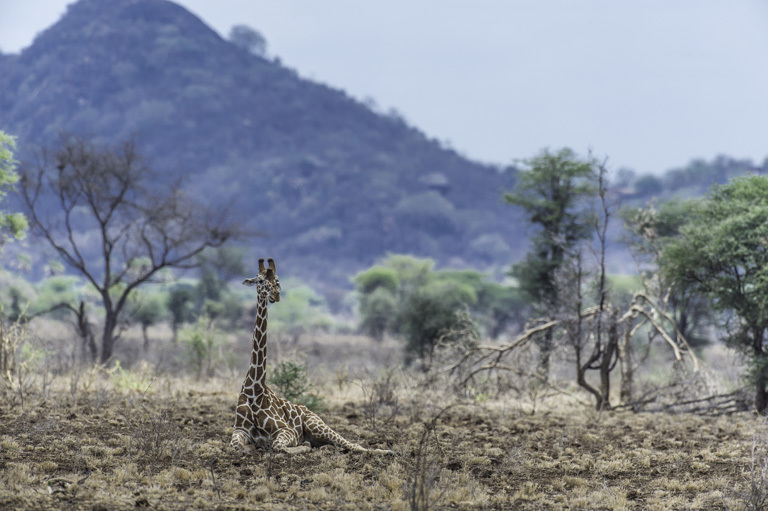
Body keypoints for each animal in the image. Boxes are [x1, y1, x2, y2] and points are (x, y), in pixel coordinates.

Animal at [231, 260, 392, 456]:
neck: (255, 389)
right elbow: (237, 446)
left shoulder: (287, 430)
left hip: (315, 423)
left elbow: (278, 446)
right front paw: (250, 447)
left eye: (277, 280)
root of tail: (306, 408)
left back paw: (385, 451)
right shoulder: (240, 430)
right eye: (260, 280)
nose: (276, 295)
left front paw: (302, 447)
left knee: (352, 444)